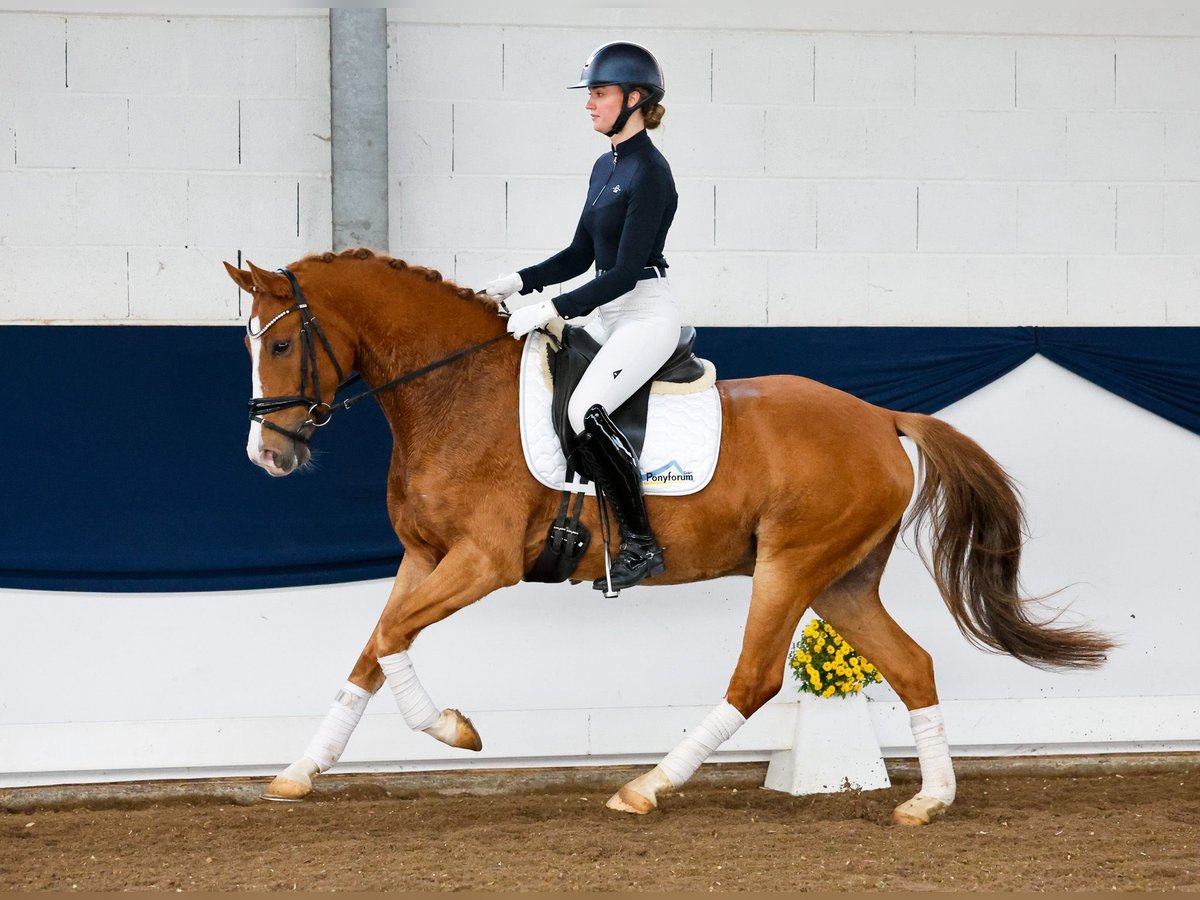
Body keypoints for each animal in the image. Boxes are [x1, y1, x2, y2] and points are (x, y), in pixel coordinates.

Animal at [223, 250, 1104, 830]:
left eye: (280, 343)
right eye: (250, 345)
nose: (268, 457)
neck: (453, 391)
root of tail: (881, 417)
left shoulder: (484, 561)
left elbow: (392, 638)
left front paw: (454, 730)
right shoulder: (424, 557)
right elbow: (374, 648)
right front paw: (299, 773)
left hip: (792, 566)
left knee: (755, 679)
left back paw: (646, 787)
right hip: (842, 580)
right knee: (912, 664)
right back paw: (929, 799)